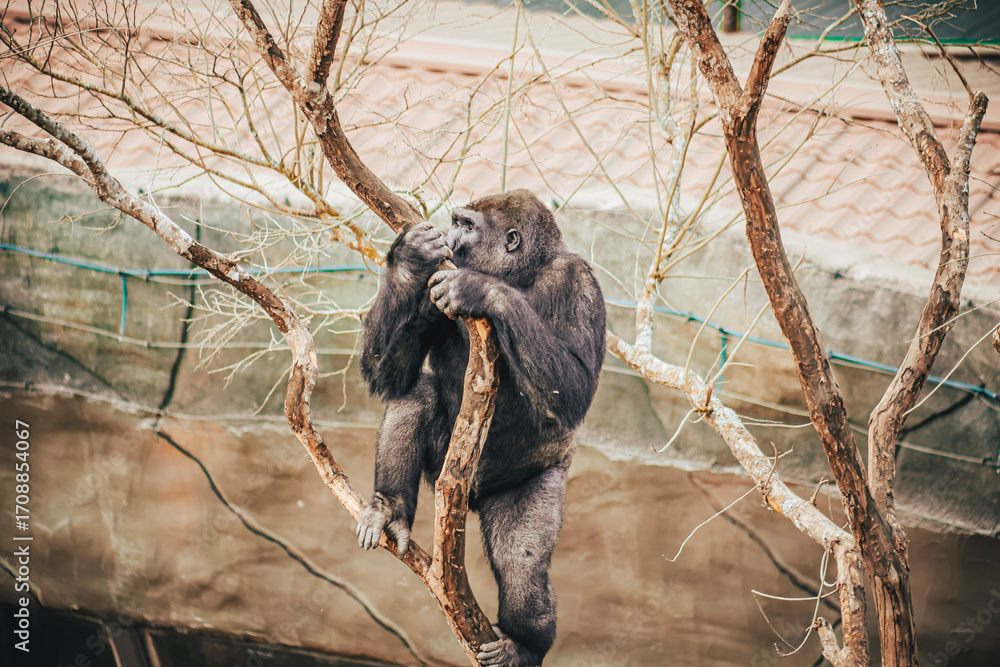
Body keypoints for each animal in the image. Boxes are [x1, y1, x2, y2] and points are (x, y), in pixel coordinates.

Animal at [357, 189, 606, 665]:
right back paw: (390, 507)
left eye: (467, 226)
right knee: (416, 394)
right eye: (455, 223)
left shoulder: (579, 280)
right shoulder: (432, 287)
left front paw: (481, 291)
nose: (451, 238)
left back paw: (525, 644)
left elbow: (577, 384)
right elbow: (388, 374)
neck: (522, 274)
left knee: (522, 566)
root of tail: (467, 497)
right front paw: (410, 257)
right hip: (442, 471)